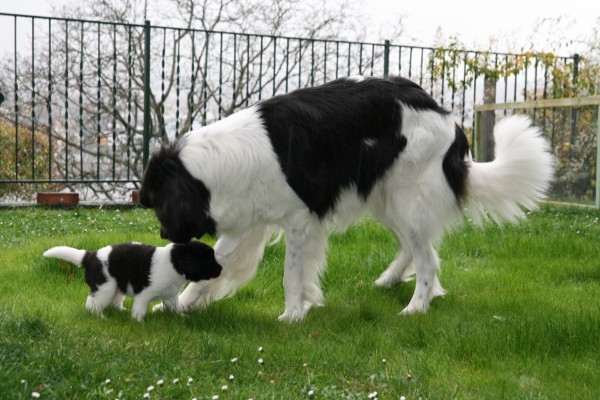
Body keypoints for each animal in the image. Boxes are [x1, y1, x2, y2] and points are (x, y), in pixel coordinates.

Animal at [44, 241, 223, 322]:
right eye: (208, 260)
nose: (221, 269)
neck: (174, 264)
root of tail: (90, 256)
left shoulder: (170, 296)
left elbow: (175, 307)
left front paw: (181, 316)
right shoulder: (144, 295)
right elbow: (139, 309)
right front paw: (139, 321)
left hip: (117, 287)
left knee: (115, 301)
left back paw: (120, 311)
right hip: (105, 288)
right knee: (92, 303)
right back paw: (100, 316)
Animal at [138, 75, 556, 322]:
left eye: (157, 203)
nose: (161, 235)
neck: (222, 161)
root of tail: (448, 119)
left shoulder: (299, 218)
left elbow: (290, 274)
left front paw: (293, 314)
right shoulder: (249, 223)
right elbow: (218, 261)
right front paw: (183, 303)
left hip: (406, 198)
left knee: (427, 260)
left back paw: (416, 306)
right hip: (385, 199)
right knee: (414, 249)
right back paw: (389, 281)